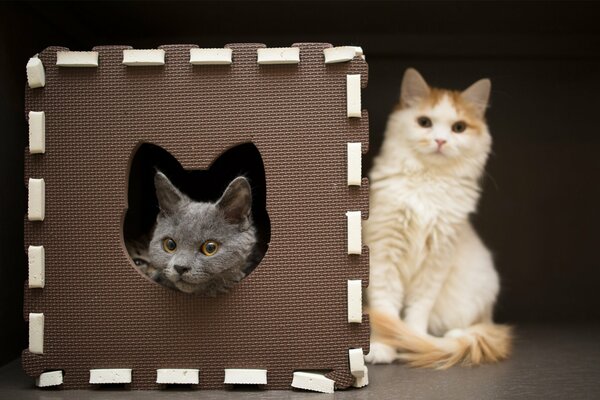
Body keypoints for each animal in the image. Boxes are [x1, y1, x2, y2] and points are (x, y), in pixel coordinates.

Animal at [366, 69, 510, 368]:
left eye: (459, 128)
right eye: (424, 122)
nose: (440, 141)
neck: (428, 182)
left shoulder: (438, 258)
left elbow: (418, 308)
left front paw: (413, 340)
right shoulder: (384, 254)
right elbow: (385, 309)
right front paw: (383, 347)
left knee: (478, 328)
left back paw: (449, 337)